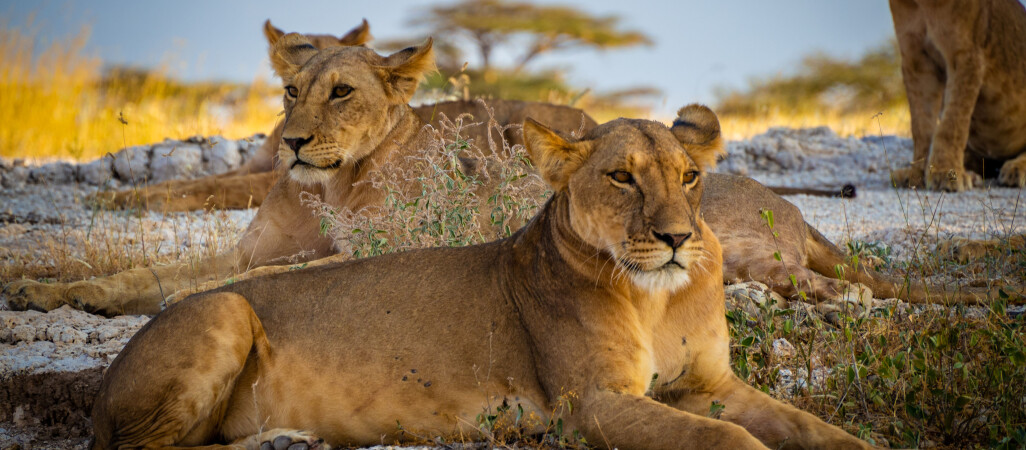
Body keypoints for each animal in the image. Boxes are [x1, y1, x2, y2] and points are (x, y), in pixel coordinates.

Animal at [8, 33, 1001, 319]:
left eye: (341, 91)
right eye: (290, 89)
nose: (287, 143)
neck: (331, 184)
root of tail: (787, 205)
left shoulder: (338, 255)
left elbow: (202, 281)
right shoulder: (258, 241)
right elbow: (165, 268)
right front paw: (41, 285)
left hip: (740, 247)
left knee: (813, 285)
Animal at [90, 106, 874, 450]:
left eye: (689, 178)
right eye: (621, 178)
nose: (678, 237)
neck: (659, 300)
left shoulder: (711, 384)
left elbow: (813, 427)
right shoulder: (590, 402)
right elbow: (731, 440)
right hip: (222, 310)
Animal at [886, 0, 1026, 190]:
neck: (923, 5)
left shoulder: (967, 55)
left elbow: (953, 121)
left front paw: (946, 173)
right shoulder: (915, 59)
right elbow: (921, 126)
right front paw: (916, 175)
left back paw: (1015, 170)